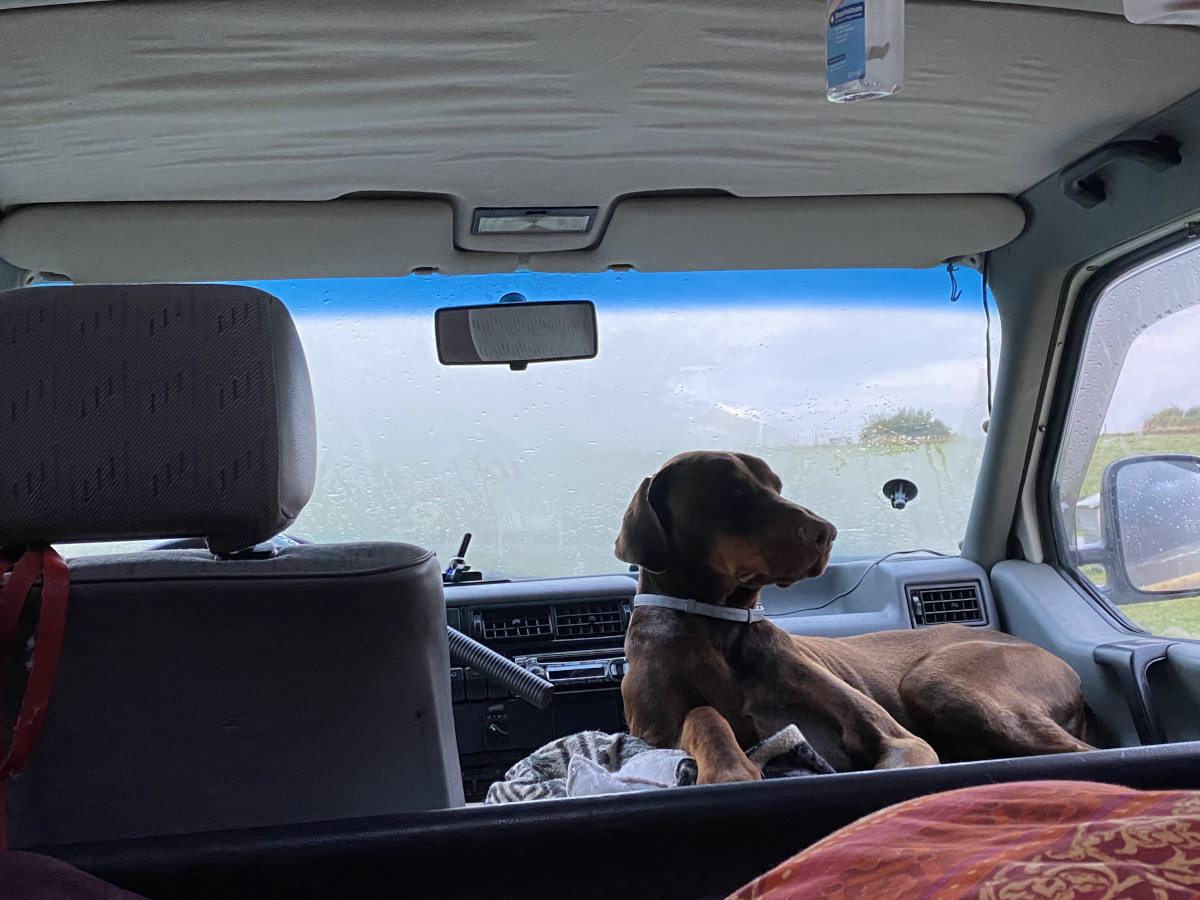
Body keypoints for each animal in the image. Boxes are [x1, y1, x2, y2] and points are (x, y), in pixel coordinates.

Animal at [614, 453, 1094, 787]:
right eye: (732, 491)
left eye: (777, 485)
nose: (826, 532)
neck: (719, 623)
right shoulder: (654, 730)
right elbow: (702, 714)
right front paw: (729, 767)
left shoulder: (901, 741)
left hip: (942, 680)